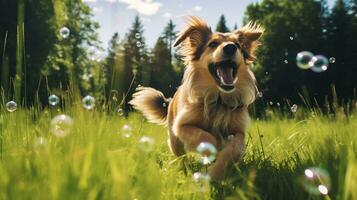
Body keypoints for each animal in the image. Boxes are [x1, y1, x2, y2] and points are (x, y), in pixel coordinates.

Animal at [129, 15, 262, 181]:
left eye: (238, 45)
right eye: (213, 44)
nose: (231, 47)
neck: (218, 99)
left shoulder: (238, 131)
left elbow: (235, 147)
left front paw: (216, 173)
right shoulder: (182, 126)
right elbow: (204, 136)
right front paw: (212, 151)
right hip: (174, 140)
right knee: (181, 156)